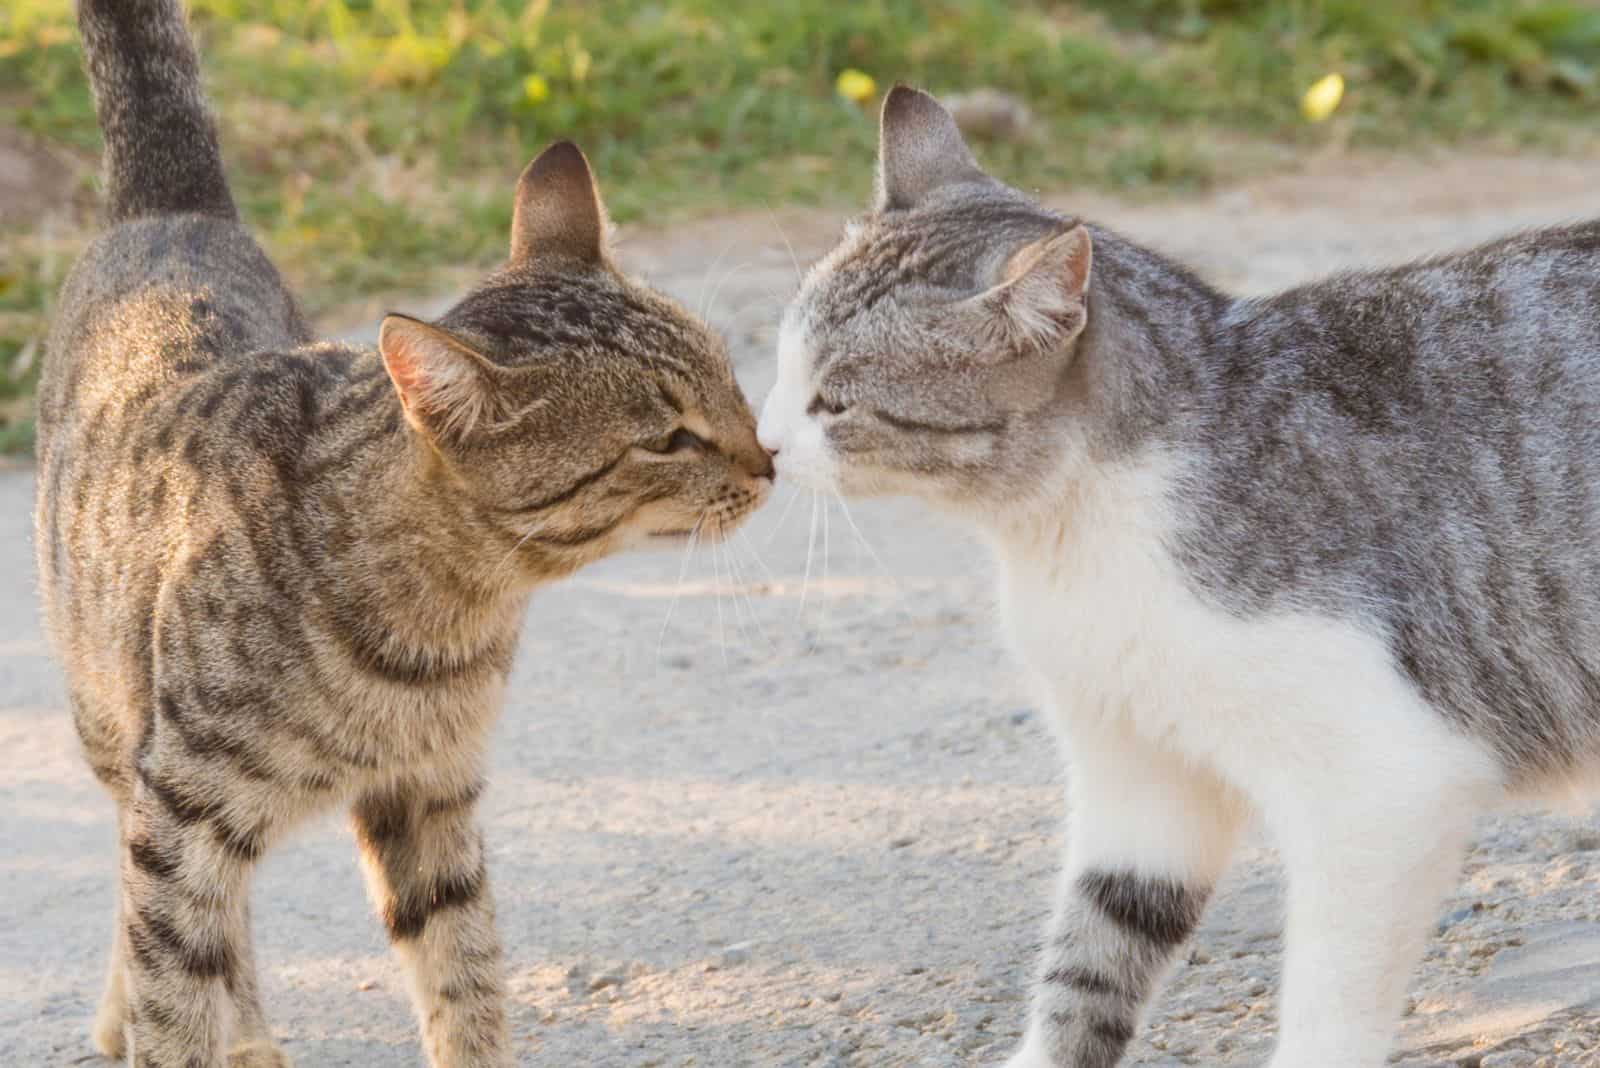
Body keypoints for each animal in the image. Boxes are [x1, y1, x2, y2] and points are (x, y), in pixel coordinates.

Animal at [31, 2, 768, 1068]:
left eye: (727, 379)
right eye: (668, 437)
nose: (770, 459)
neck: (443, 619)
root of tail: (170, 213)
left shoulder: (431, 793)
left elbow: (464, 968)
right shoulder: (183, 805)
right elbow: (175, 984)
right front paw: (170, 1022)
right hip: (113, 726)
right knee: (169, 904)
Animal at [755, 87, 1600, 1068]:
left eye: (835, 403)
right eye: (781, 363)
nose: (764, 442)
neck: (1066, 533)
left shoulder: (1384, 787)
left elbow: (1326, 1012)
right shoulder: (1140, 784)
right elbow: (1089, 965)